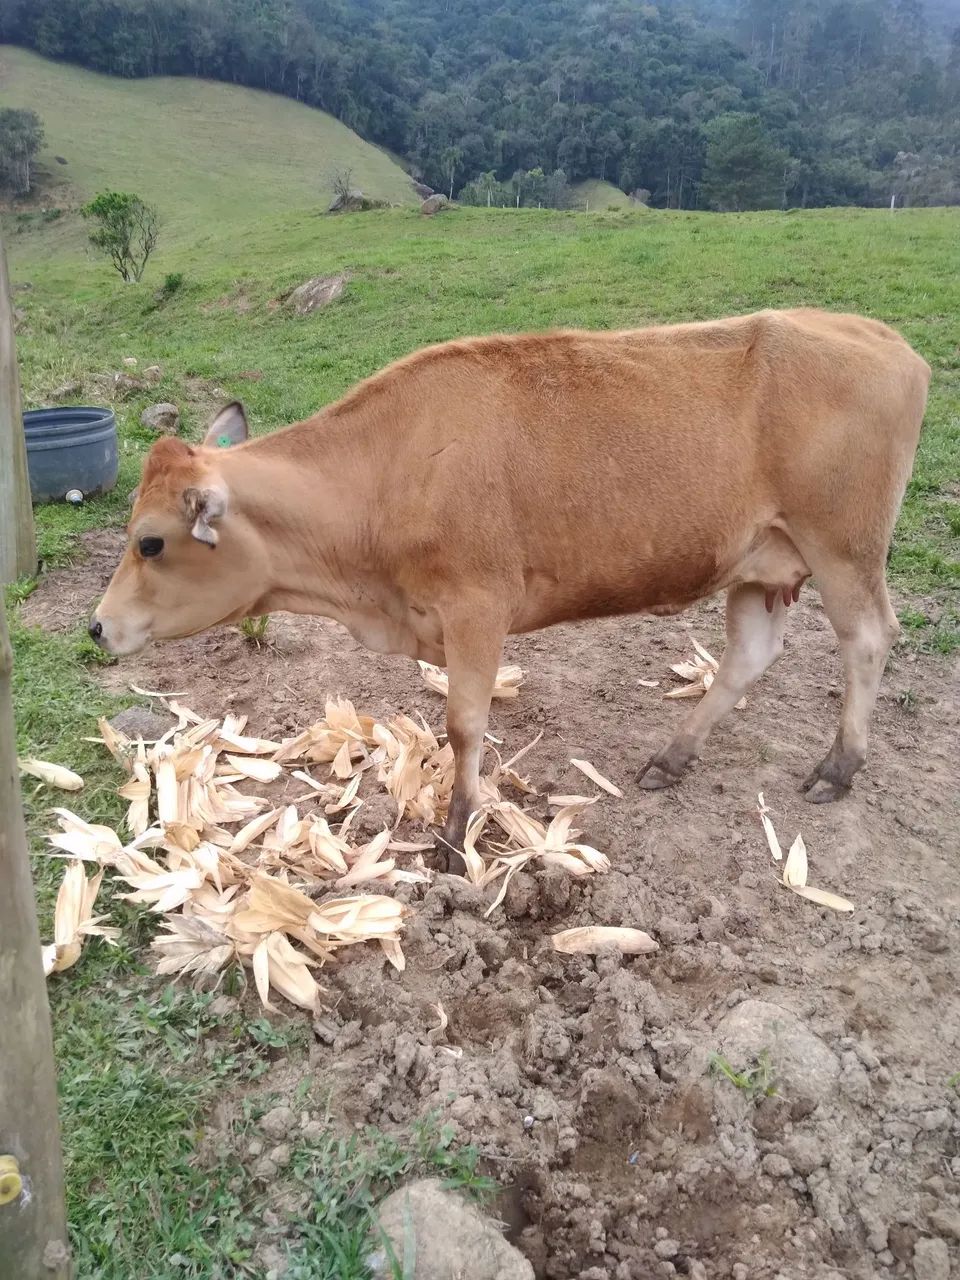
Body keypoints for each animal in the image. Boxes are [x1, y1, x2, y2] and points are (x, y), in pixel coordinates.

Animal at [90, 308, 931, 871]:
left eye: (151, 541)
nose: (97, 627)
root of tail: (881, 337)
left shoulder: (477, 608)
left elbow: (465, 725)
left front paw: (457, 830)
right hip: (760, 562)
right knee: (750, 655)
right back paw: (673, 756)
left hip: (844, 548)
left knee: (867, 639)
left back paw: (839, 767)